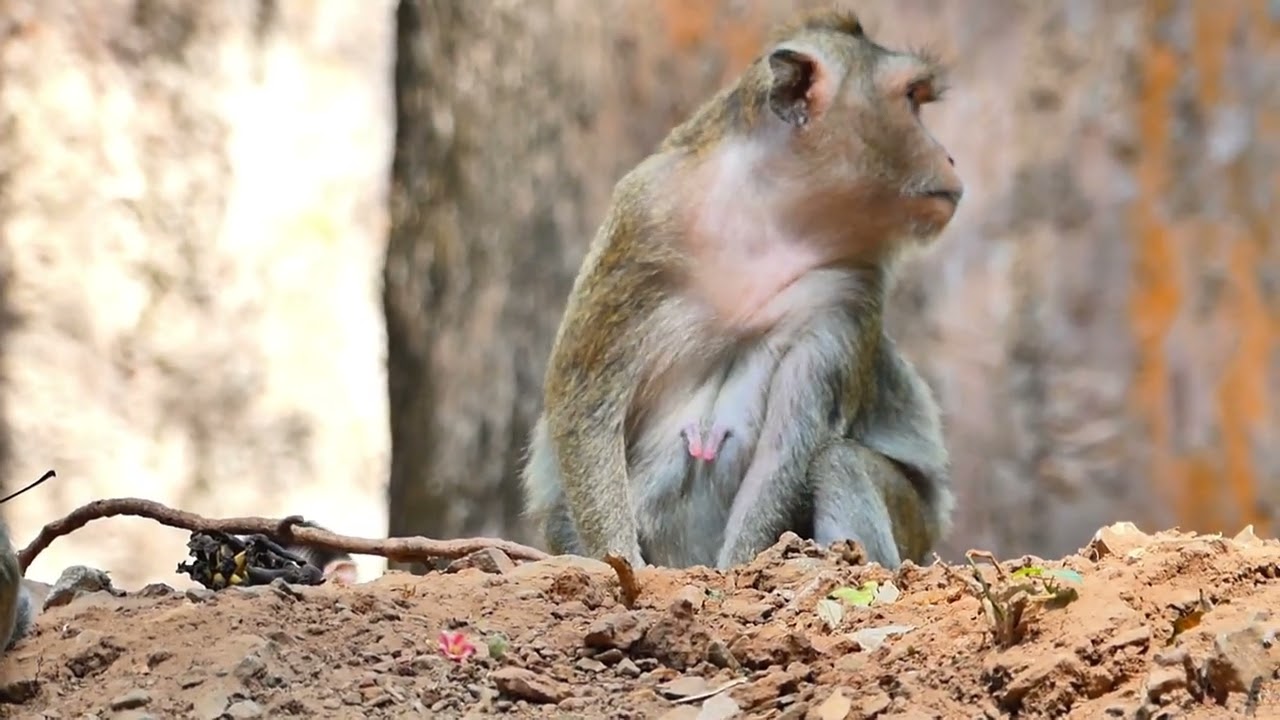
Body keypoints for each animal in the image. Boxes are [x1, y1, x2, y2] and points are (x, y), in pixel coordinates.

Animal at [521, 8, 960, 570]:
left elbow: (788, 446)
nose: (949, 157)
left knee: (838, 461)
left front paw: (741, 569)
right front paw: (618, 562)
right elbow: (584, 397)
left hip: (917, 528)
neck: (770, 212)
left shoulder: (848, 284)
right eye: (910, 99)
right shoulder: (644, 213)